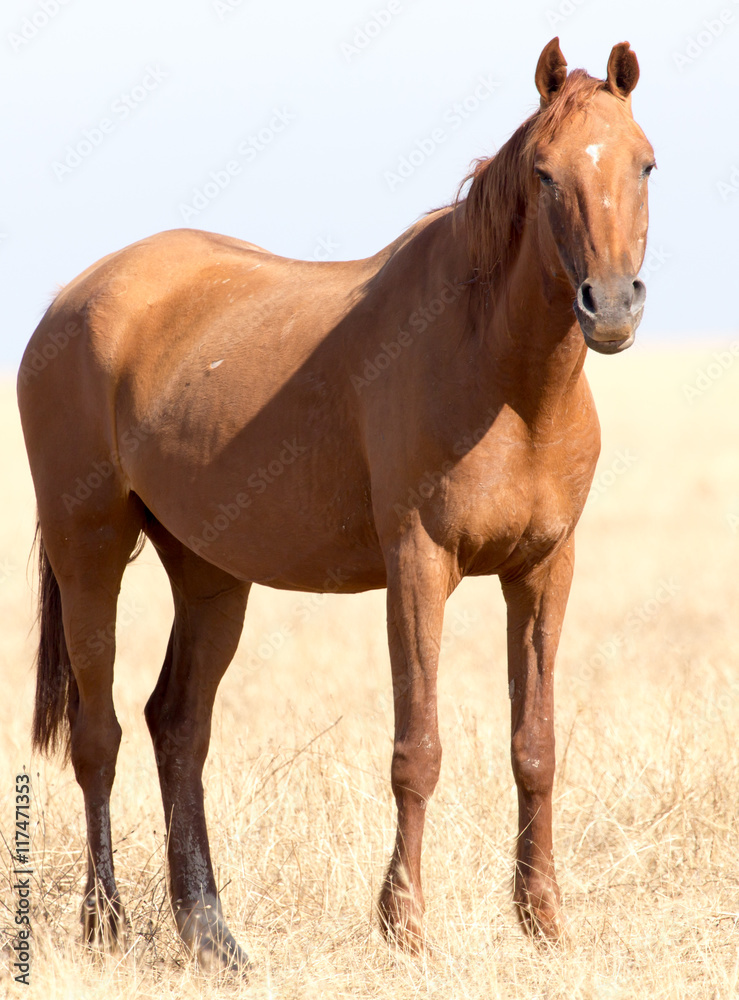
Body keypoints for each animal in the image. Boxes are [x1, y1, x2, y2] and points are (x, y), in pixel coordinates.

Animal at [17, 39, 652, 968]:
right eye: (543, 172)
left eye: (644, 163)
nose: (608, 306)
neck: (502, 375)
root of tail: (72, 299)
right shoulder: (417, 568)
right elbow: (416, 750)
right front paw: (404, 925)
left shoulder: (543, 572)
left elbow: (533, 747)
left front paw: (542, 920)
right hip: (88, 546)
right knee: (99, 736)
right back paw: (105, 922)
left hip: (208, 573)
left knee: (178, 727)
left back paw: (210, 933)